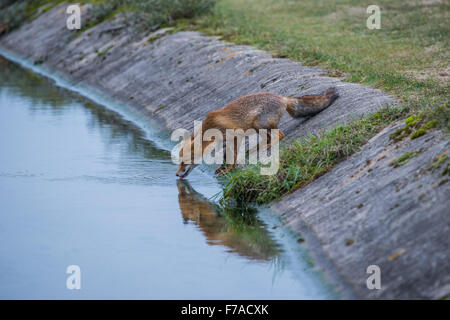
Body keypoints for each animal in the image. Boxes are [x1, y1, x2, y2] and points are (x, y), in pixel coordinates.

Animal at [176, 86, 338, 179]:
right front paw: (223, 168)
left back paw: (266, 147)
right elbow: (226, 156)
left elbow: (233, 156)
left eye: (184, 162)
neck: (211, 127)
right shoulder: (225, 142)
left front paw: (228, 169)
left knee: (280, 135)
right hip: (256, 127)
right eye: (179, 162)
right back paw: (255, 148)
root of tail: (282, 97)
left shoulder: (235, 135)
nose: (176, 174)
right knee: (267, 138)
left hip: (259, 123)